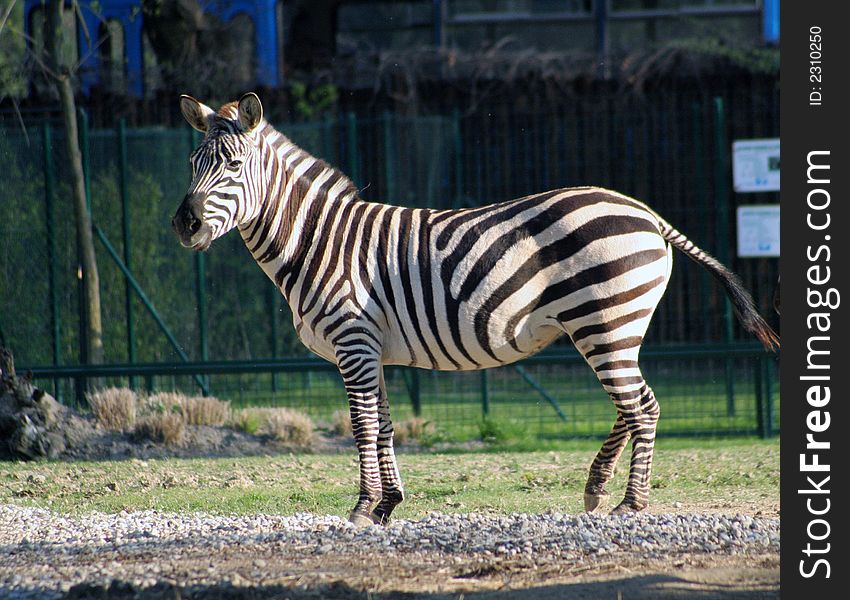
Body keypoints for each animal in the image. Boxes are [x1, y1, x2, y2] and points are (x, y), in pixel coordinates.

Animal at [171, 92, 776, 524]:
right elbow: (385, 424)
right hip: (610, 326)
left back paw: (631, 503)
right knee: (633, 405)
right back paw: (596, 487)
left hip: (604, 320)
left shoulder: (353, 340)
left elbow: (362, 425)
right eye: (193, 163)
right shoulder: (372, 349)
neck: (320, 240)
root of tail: (648, 214)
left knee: (642, 406)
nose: (185, 224)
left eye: (232, 165)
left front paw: (363, 507)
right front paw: (389, 503)